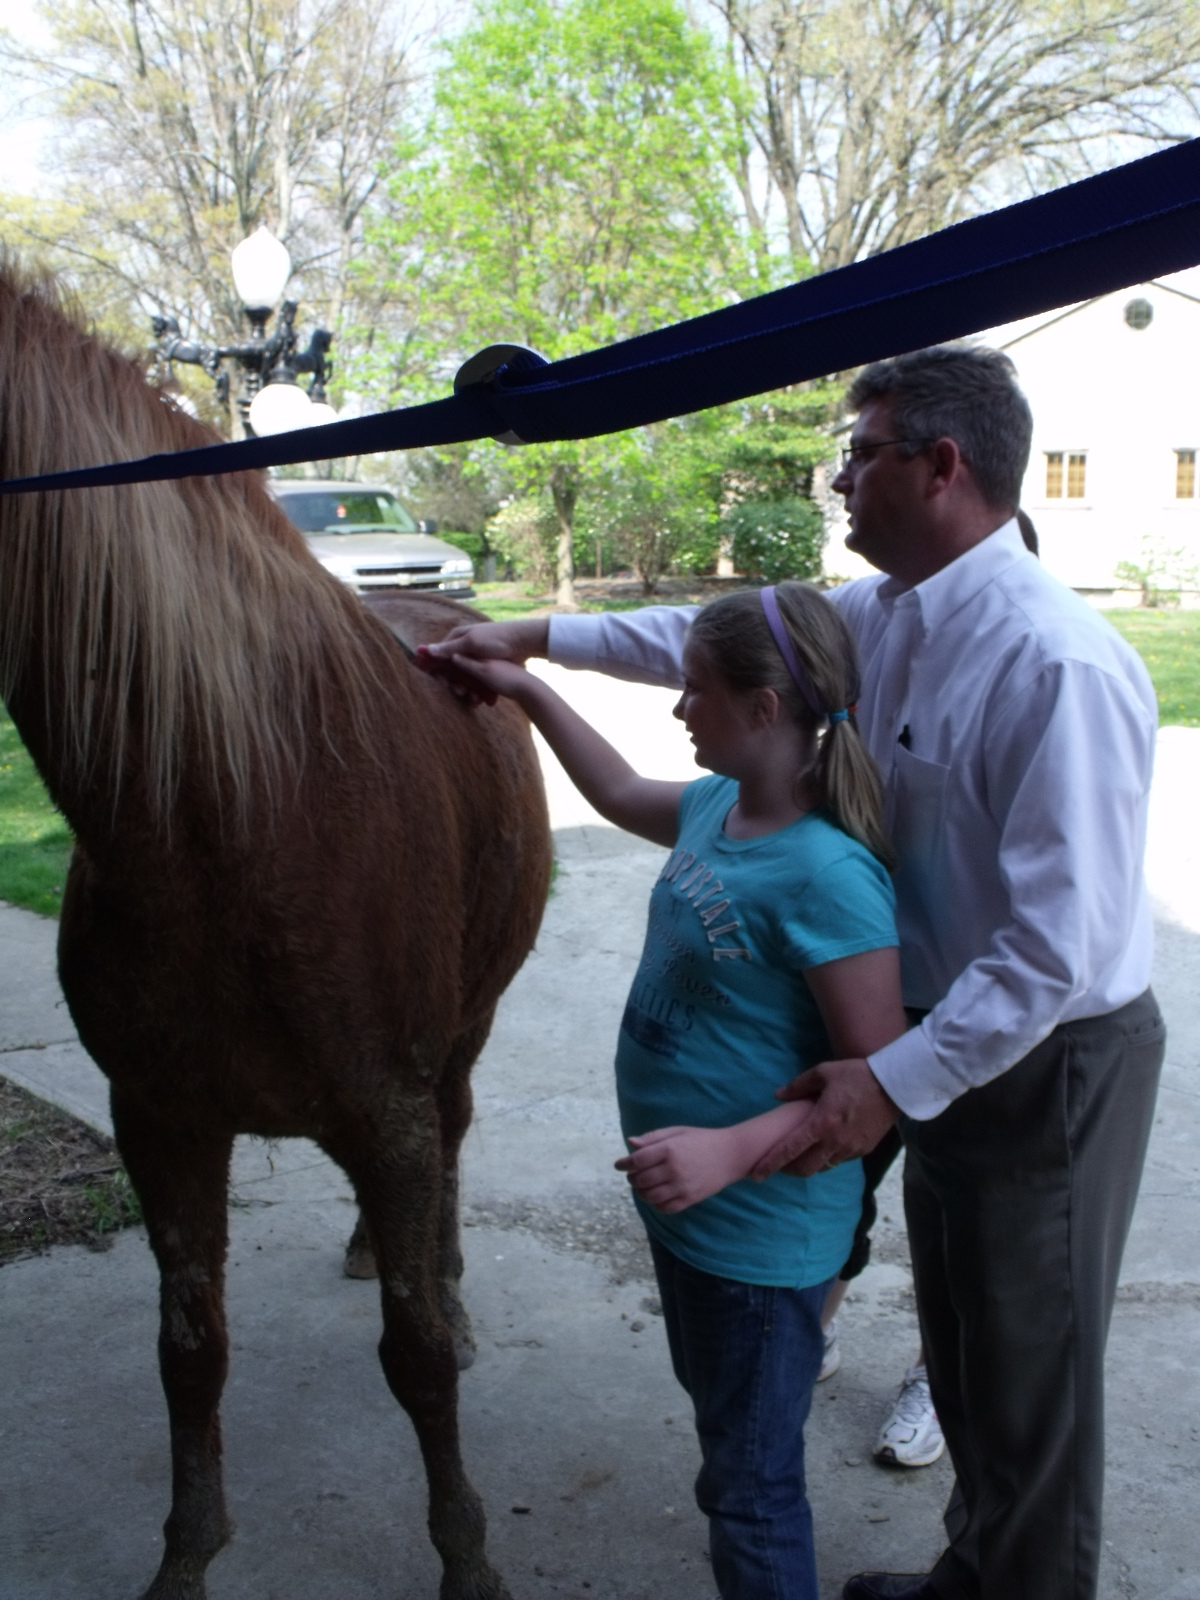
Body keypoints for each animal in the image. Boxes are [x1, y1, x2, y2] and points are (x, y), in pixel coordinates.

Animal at [0, 262, 551, 1600]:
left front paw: (467, 1558)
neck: (220, 810)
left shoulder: (390, 1115)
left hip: (463, 1037)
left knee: (454, 1155)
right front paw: (185, 1559)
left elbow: (417, 1358)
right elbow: (188, 1348)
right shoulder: (160, 1119)